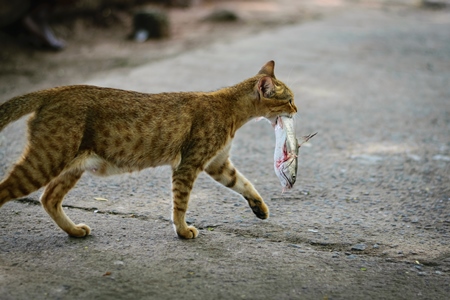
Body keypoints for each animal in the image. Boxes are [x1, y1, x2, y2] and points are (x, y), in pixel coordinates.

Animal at [0, 61, 298, 239]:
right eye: (289, 99)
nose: (296, 109)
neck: (229, 109)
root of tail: (53, 90)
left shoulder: (218, 164)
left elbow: (244, 183)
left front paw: (260, 208)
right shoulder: (188, 165)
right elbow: (180, 203)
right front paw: (182, 230)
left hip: (70, 166)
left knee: (49, 198)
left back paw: (74, 230)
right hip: (44, 162)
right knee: (9, 191)